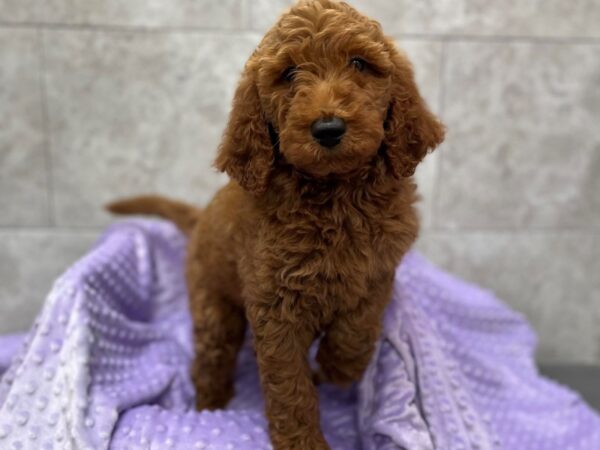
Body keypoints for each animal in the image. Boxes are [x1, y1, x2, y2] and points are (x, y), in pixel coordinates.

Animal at [109, 1, 446, 448]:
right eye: (288, 74)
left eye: (359, 63)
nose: (328, 129)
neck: (335, 195)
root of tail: (200, 218)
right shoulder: (275, 307)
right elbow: (289, 386)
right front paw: (303, 440)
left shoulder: (377, 274)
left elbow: (356, 332)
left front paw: (334, 369)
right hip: (213, 304)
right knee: (210, 361)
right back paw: (210, 410)